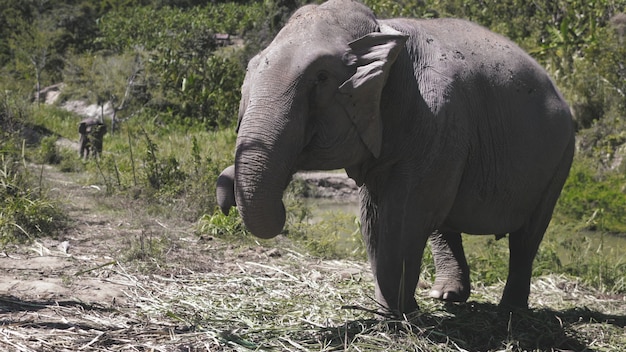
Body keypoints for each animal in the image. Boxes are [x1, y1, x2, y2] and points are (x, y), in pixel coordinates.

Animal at [217, 0, 572, 314]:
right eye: (251, 67)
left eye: (321, 77)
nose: (225, 199)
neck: (382, 31)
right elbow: (375, 214)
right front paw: (391, 309)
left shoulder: (438, 117)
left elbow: (403, 212)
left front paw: (395, 313)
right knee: (444, 219)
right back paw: (446, 296)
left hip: (560, 159)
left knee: (526, 235)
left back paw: (510, 308)